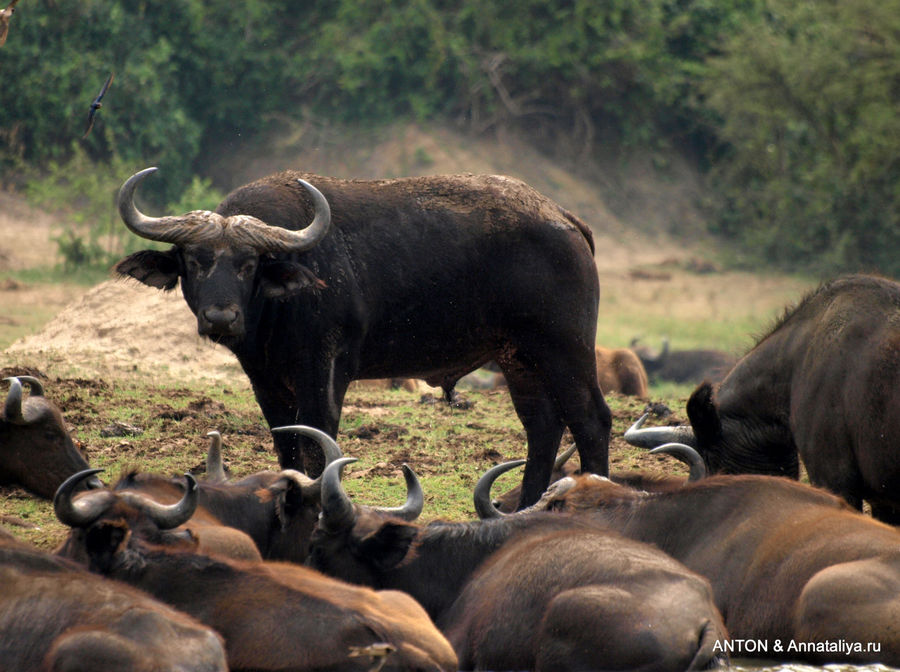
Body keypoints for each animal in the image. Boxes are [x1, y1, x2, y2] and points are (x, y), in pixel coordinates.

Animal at [114, 168, 612, 510]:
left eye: (248, 264)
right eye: (194, 261)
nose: (220, 317)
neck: (279, 304)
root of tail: (565, 219)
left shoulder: (324, 373)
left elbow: (317, 445)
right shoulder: (265, 380)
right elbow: (285, 446)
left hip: (564, 349)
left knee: (590, 419)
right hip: (519, 358)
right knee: (542, 424)